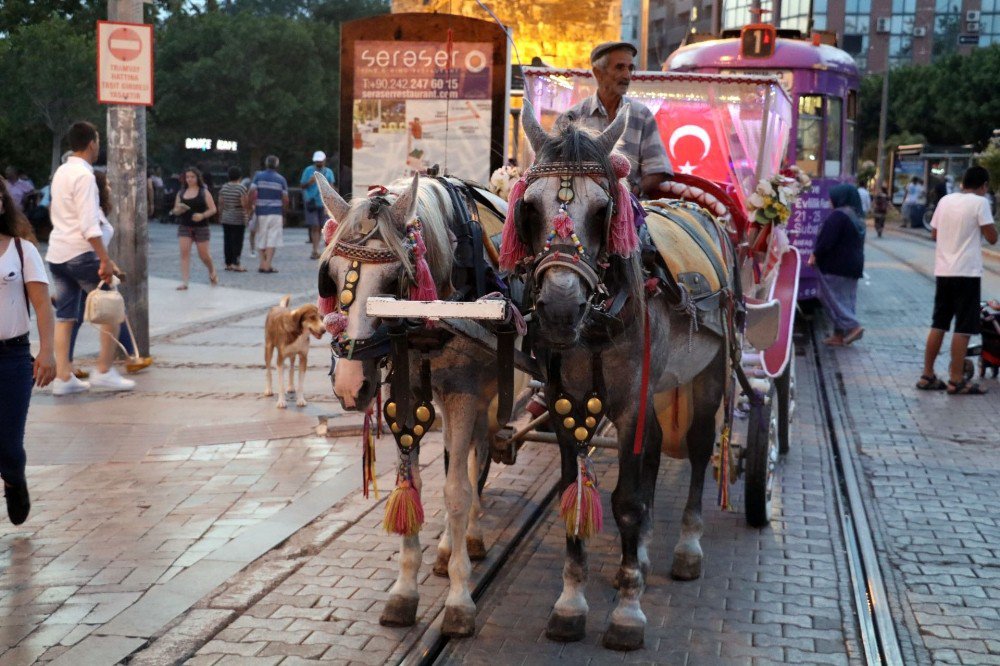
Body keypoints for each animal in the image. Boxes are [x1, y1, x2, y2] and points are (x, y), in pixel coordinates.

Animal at [318, 174, 500, 636]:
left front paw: (459, 598)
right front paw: (404, 592)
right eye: (329, 277)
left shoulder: (464, 392)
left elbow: (456, 491)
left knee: (474, 457)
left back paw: (470, 537)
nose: (350, 384)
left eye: (394, 281)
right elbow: (412, 487)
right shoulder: (411, 394)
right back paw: (448, 546)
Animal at [512, 104, 732, 648]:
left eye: (602, 211)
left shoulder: (631, 399)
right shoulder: (563, 396)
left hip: (708, 372)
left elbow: (628, 501)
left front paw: (628, 612)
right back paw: (646, 553)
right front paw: (571, 603)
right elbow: (574, 493)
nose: (560, 309)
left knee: (699, 448)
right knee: (652, 450)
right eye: (529, 209)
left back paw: (687, 547)